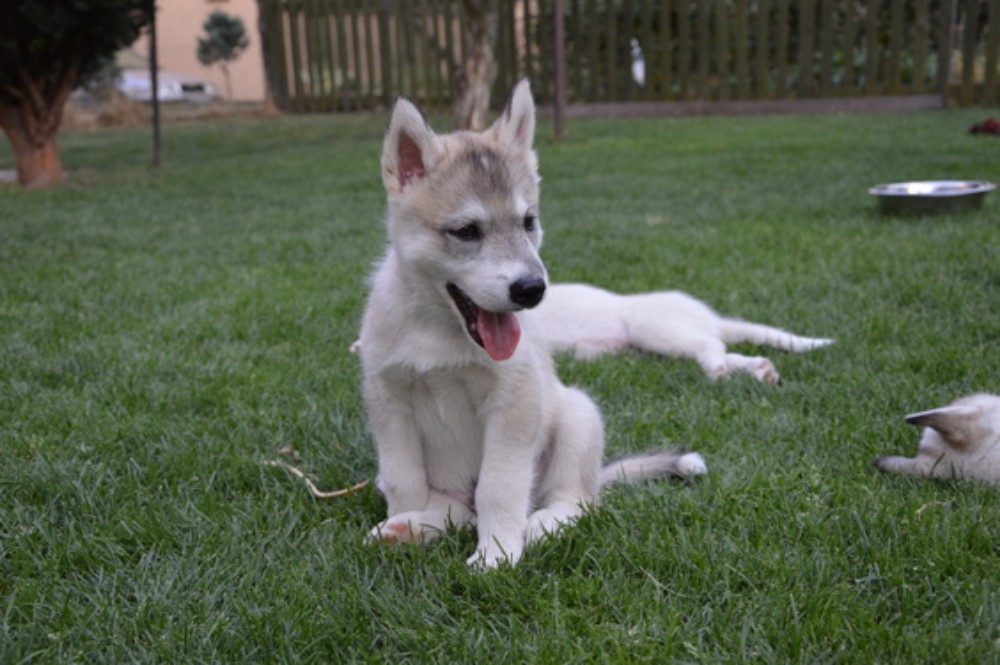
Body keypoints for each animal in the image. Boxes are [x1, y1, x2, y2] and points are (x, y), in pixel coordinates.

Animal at [357, 80, 706, 568]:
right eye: (467, 231)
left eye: (528, 222)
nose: (532, 289)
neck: (440, 331)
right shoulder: (389, 401)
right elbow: (403, 480)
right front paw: (405, 518)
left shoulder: (514, 402)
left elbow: (499, 487)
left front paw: (496, 555)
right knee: (458, 513)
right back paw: (411, 528)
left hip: (578, 414)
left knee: (576, 500)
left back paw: (541, 524)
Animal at [535, 283, 833, 383]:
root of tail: (711, 318)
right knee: (725, 351)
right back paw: (760, 370)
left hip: (652, 328)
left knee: (711, 344)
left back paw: (717, 371)